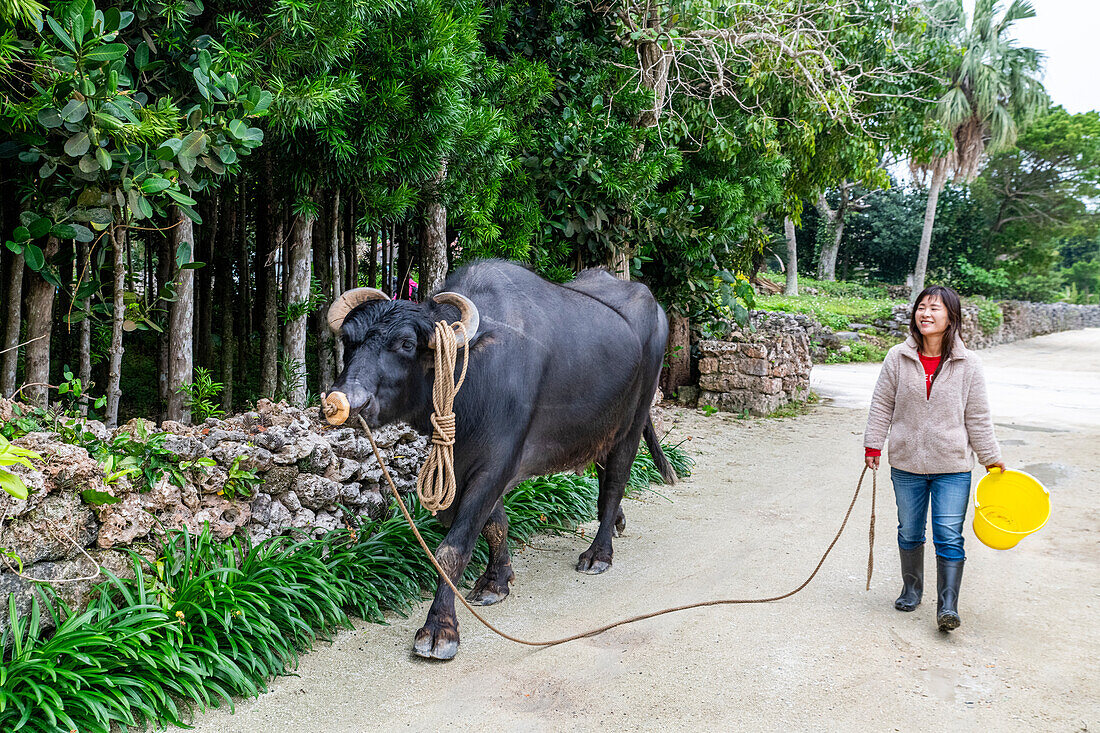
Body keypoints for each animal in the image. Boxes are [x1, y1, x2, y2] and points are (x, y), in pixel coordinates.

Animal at [321, 258, 673, 655]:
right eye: (349, 341)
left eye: (406, 344)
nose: (344, 402)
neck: (474, 373)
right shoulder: (461, 462)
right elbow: (495, 524)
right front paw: (496, 581)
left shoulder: (498, 461)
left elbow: (453, 547)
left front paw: (440, 628)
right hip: (603, 427)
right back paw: (614, 523)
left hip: (633, 423)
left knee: (615, 483)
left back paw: (598, 554)